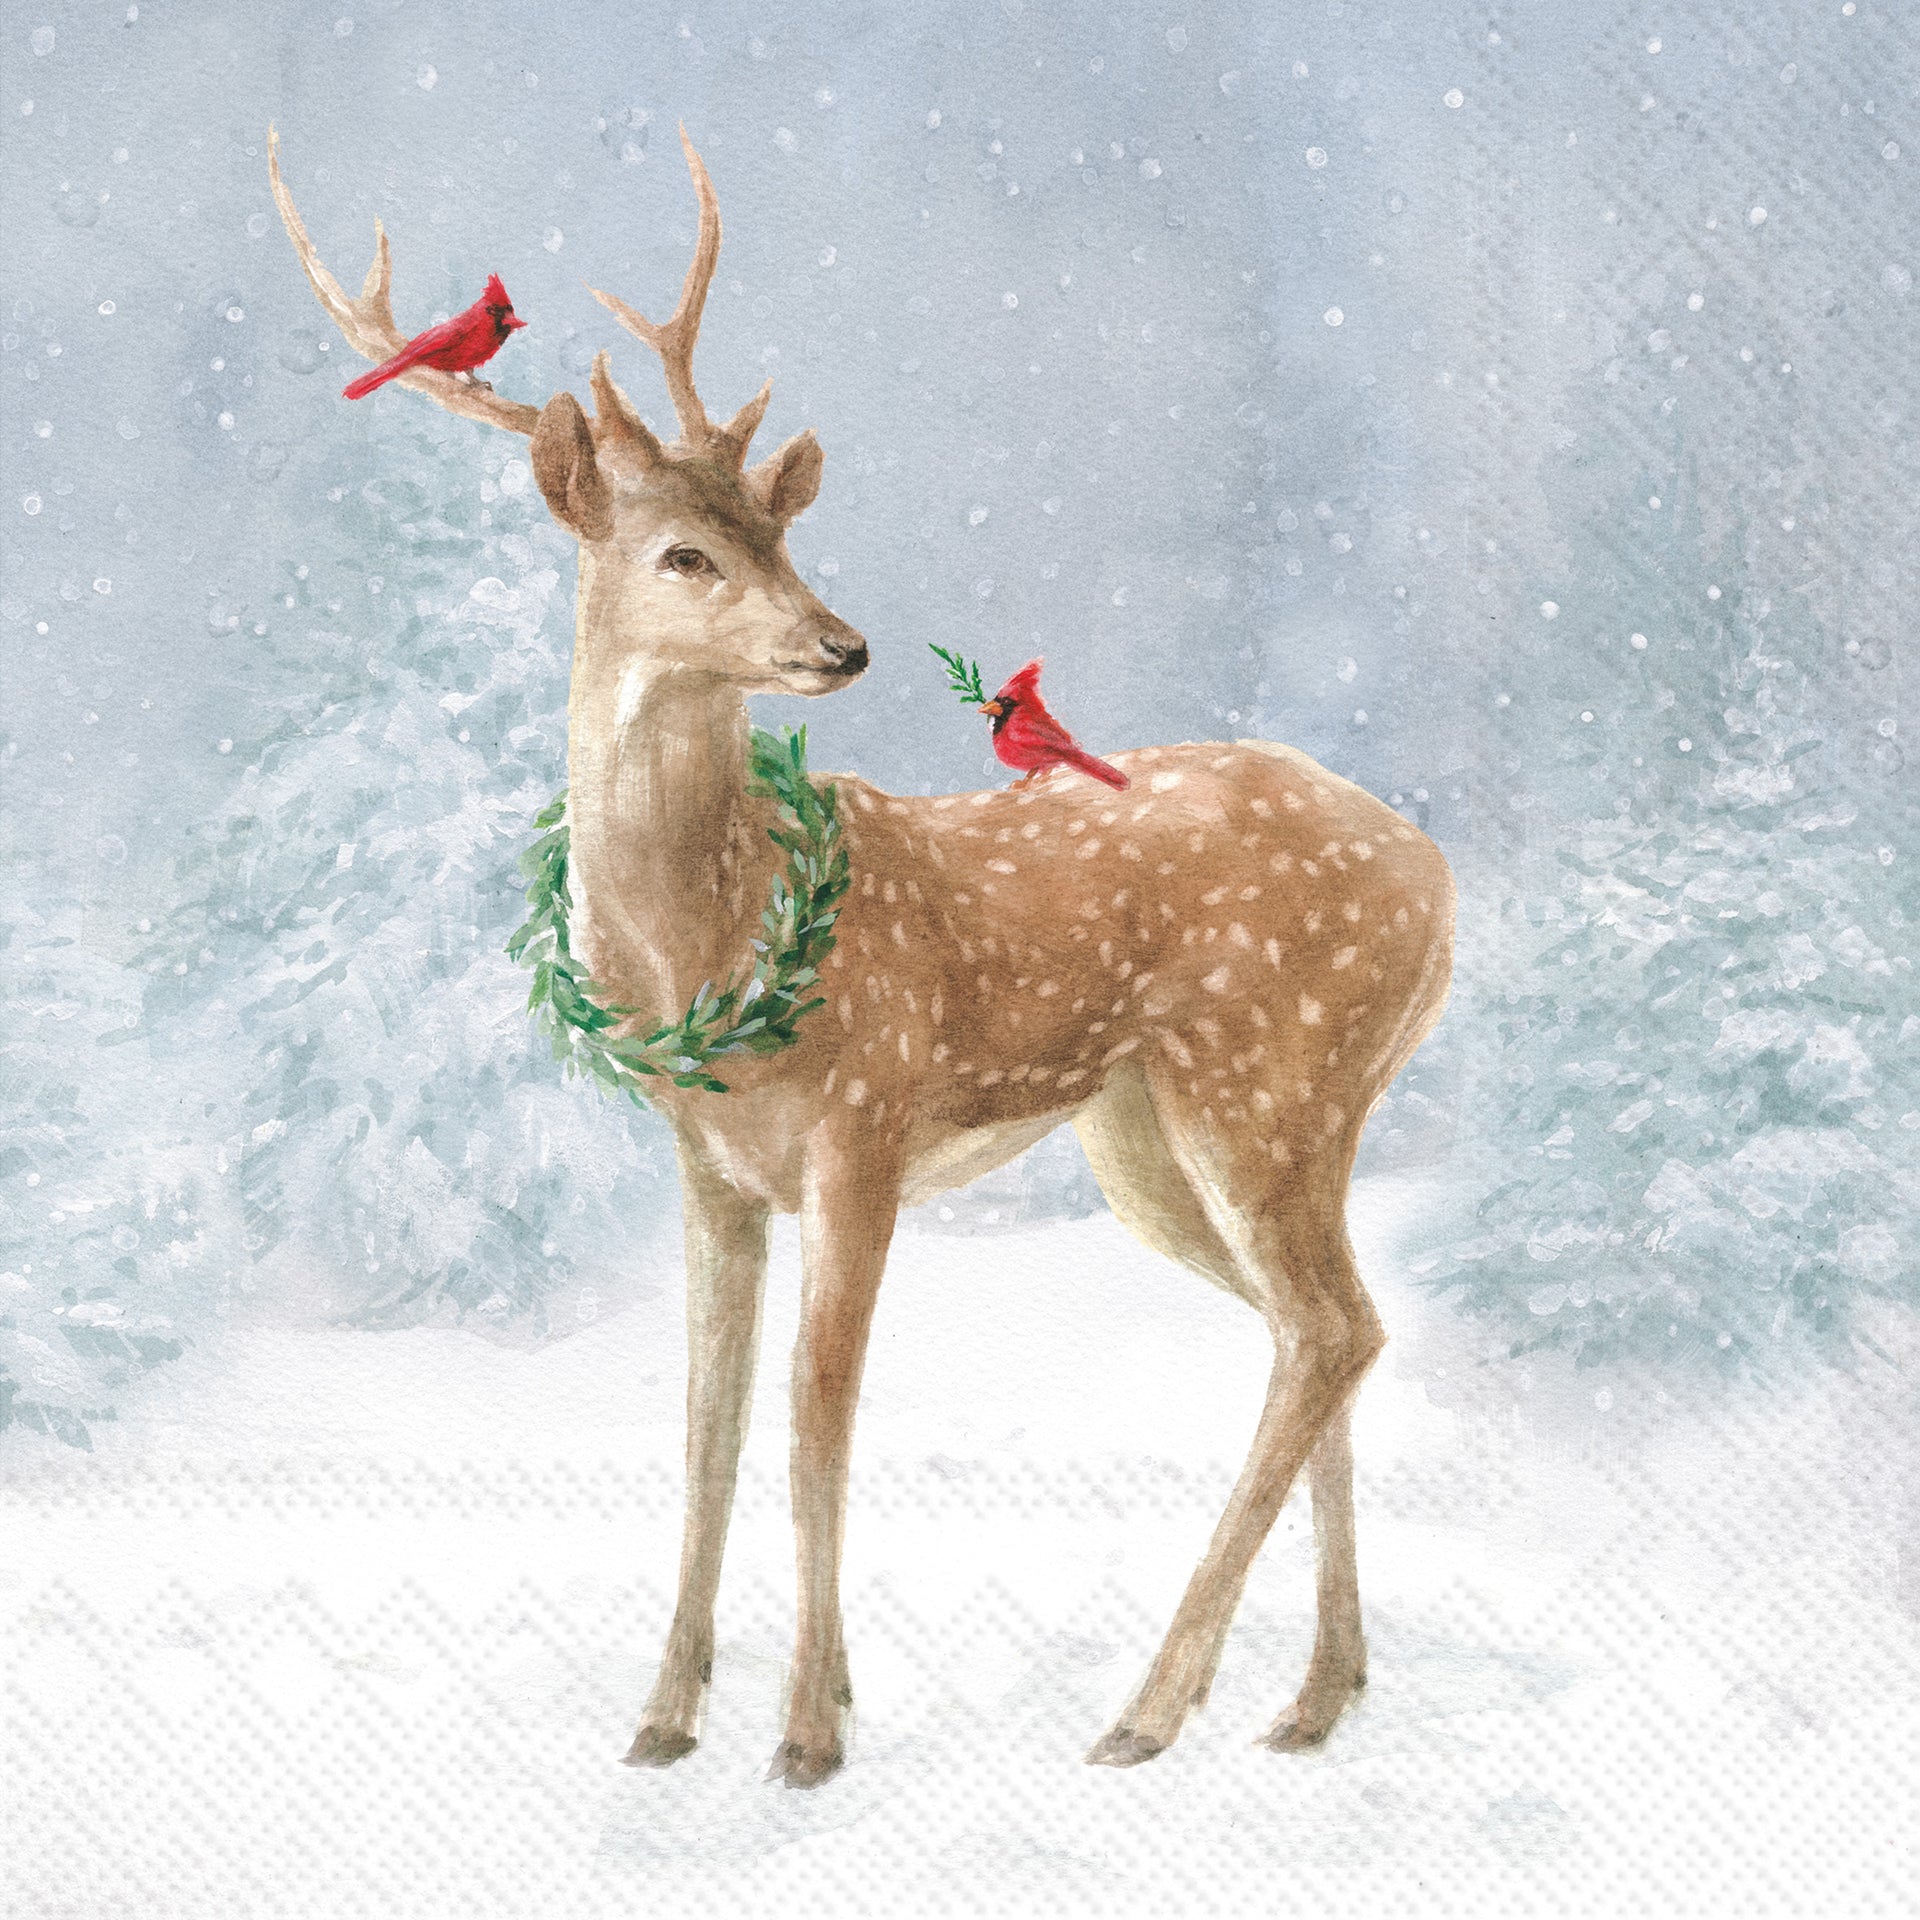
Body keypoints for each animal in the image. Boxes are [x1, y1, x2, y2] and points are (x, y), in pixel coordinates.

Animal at [270, 126, 1455, 1788]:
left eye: (786, 533)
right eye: (685, 552)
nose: (841, 645)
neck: (702, 950)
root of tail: (1441, 882)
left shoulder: (864, 1127)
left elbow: (815, 1422)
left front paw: (809, 1730)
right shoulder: (713, 1168)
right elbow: (706, 1427)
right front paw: (665, 1718)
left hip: (1263, 1074)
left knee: (1330, 1326)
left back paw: (1151, 1706)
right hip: (1174, 1129)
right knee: (1326, 1328)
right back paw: (1310, 1696)